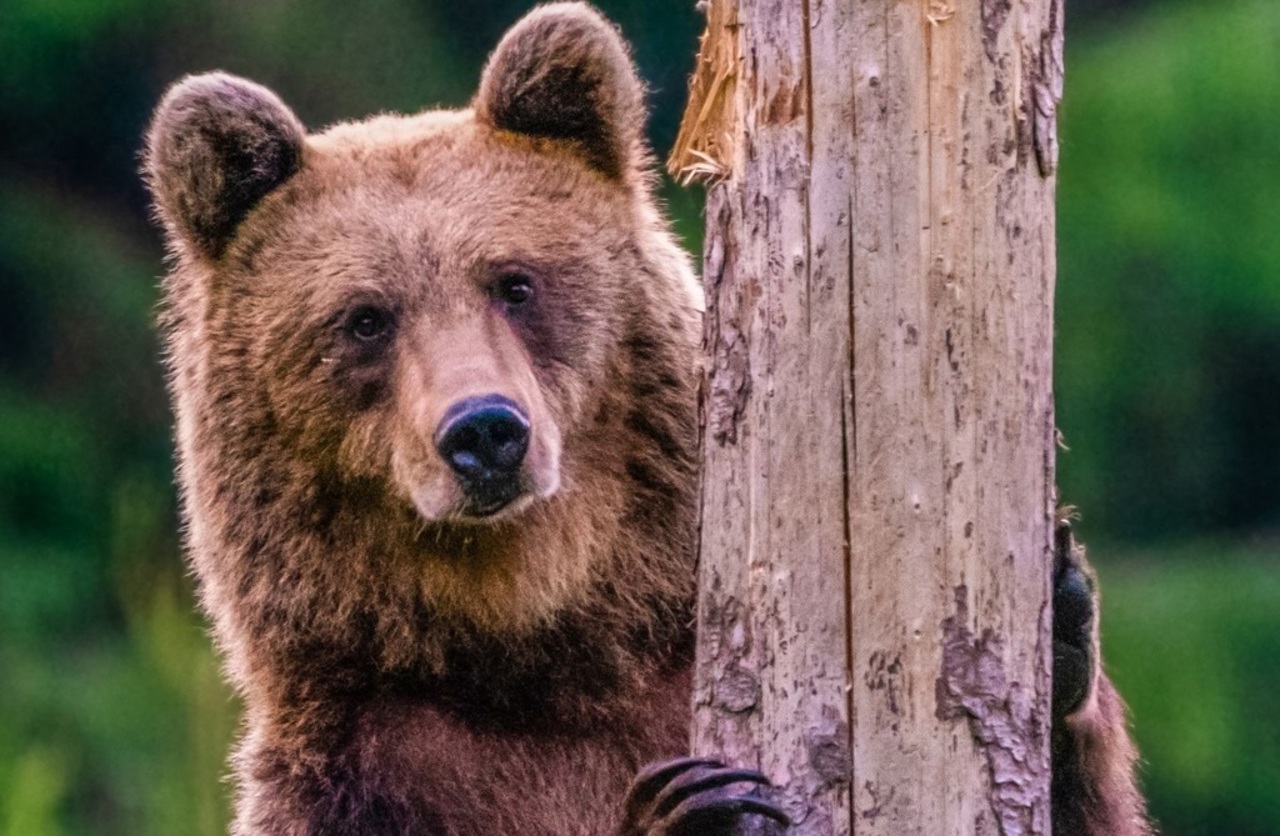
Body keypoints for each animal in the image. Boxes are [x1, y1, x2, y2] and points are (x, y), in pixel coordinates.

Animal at [142, 3, 1152, 829]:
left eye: (515, 282)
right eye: (364, 318)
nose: (485, 432)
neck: (537, 646)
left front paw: (1063, 614)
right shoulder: (365, 777)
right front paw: (690, 806)